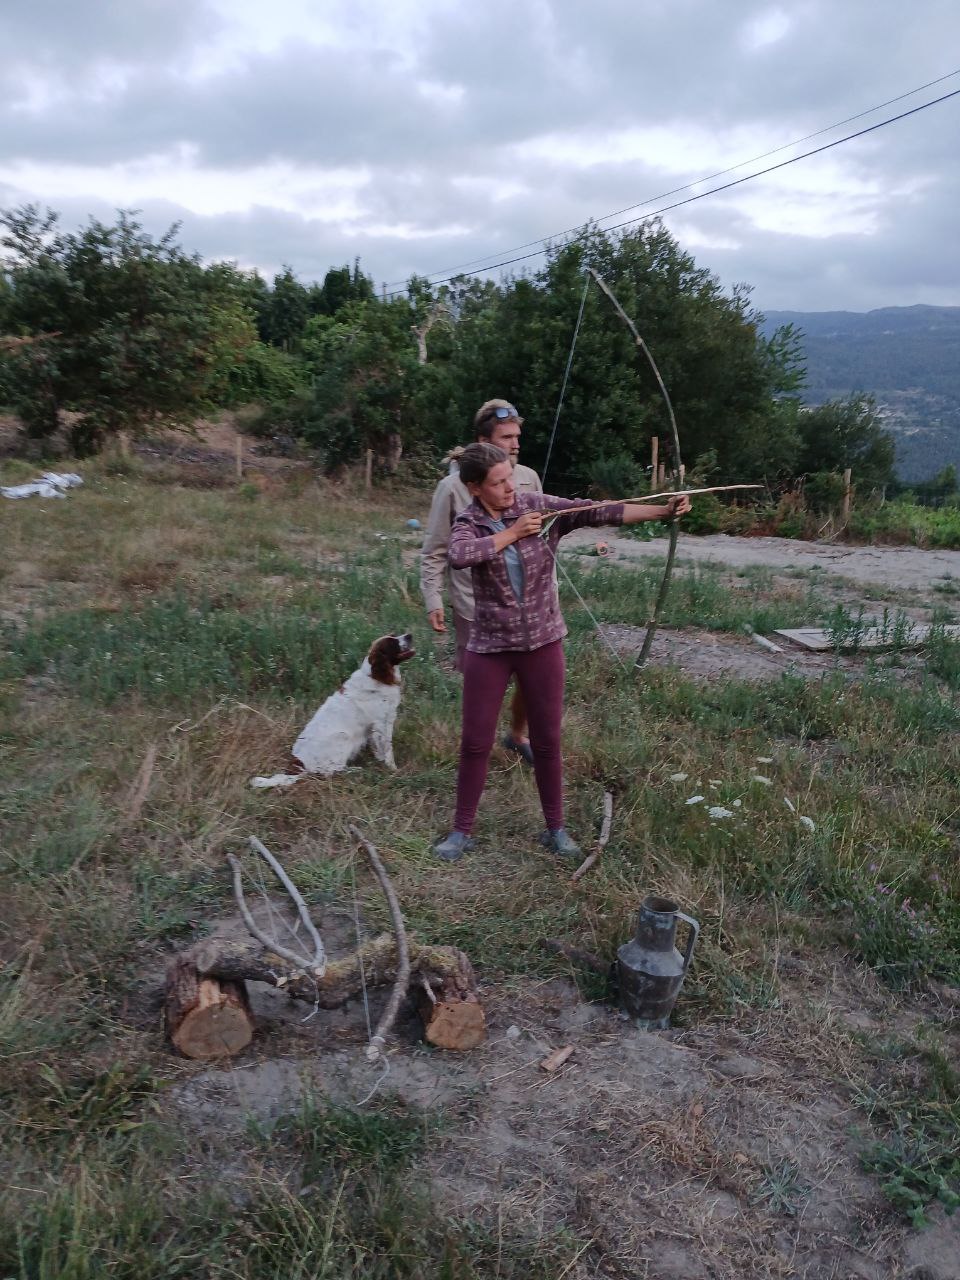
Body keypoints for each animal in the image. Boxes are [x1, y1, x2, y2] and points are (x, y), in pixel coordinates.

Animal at [251, 633, 415, 789]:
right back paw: (355, 770)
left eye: (394, 635)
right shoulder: (381, 723)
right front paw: (393, 770)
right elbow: (388, 750)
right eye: (392, 643)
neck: (376, 677)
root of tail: (299, 763)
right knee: (330, 771)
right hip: (342, 737)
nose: (409, 635)